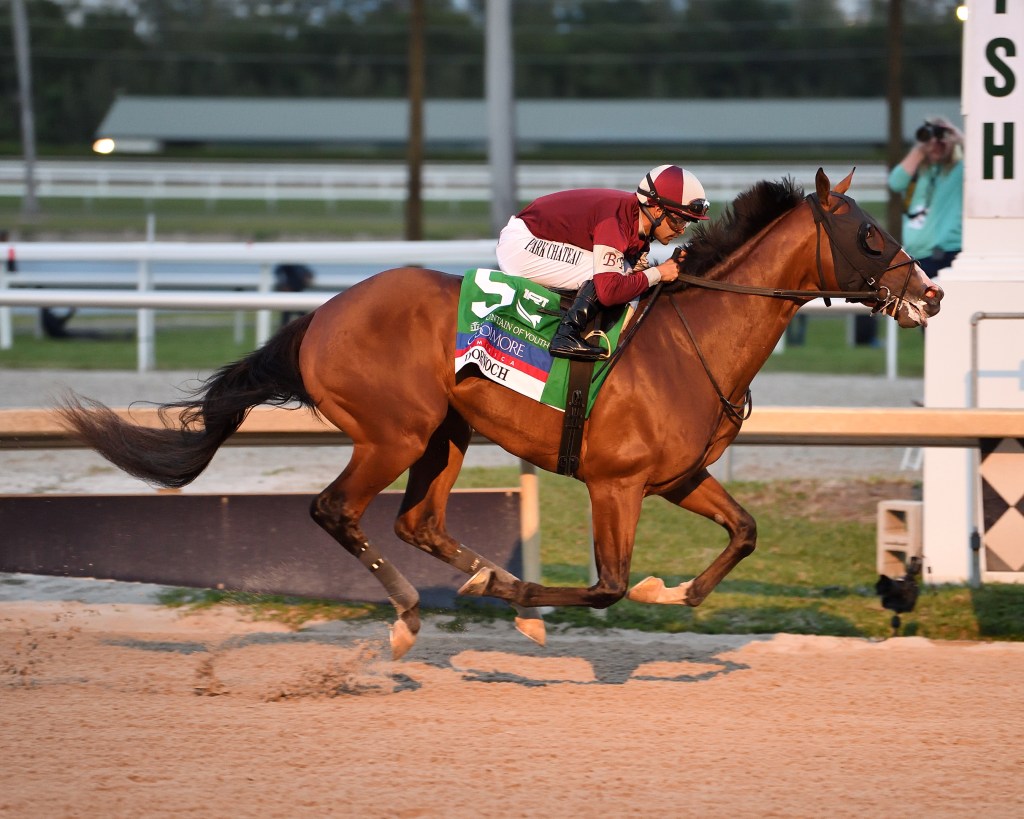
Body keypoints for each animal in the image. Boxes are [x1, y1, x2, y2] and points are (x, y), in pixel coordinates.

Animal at [59, 168, 943, 659]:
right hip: (393, 432)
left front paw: (673, 592)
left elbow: (744, 532)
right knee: (336, 509)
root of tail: (321, 314)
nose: (930, 293)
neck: (691, 339)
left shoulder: (678, 476)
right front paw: (541, 606)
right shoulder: (615, 483)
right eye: (870, 233)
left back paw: (480, 577)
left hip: (445, 433)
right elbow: (606, 587)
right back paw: (414, 610)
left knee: (416, 521)